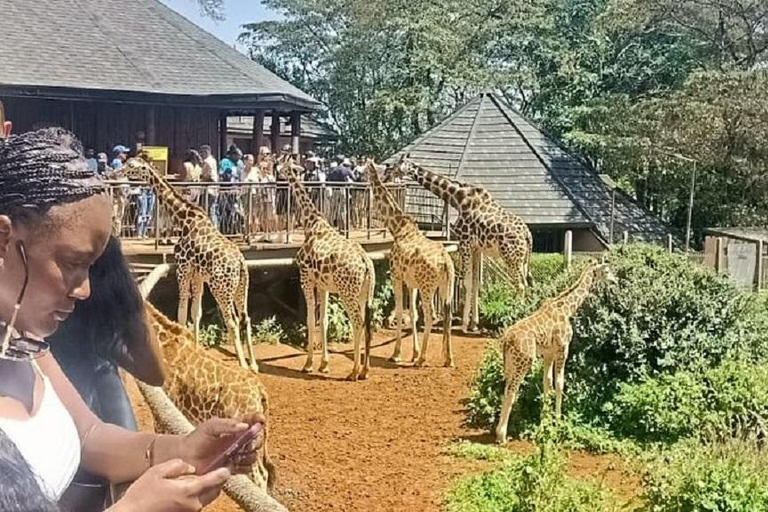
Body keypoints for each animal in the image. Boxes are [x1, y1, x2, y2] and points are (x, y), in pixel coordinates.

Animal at [122, 157, 257, 372]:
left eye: (132, 166)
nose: (118, 172)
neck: (184, 218)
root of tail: (240, 262)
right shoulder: (198, 275)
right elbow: (196, 313)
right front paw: (196, 347)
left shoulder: (182, 269)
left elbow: (181, 313)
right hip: (241, 286)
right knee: (246, 318)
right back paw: (253, 364)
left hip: (221, 288)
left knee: (233, 321)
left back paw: (242, 364)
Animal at [277, 156, 375, 381]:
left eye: (283, 165)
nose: (277, 172)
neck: (311, 222)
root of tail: (366, 263)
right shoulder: (323, 286)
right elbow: (323, 321)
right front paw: (324, 364)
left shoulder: (305, 278)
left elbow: (309, 319)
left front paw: (308, 364)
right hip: (366, 292)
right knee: (367, 324)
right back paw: (365, 370)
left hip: (348, 292)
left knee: (357, 322)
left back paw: (354, 372)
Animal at [364, 160, 456, 367]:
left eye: (391, 168)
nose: (362, 180)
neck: (397, 227)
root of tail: (445, 262)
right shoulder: (411, 282)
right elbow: (412, 313)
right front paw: (413, 352)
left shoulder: (396, 276)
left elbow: (399, 311)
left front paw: (397, 354)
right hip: (446, 286)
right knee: (447, 314)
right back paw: (448, 359)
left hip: (428, 286)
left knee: (431, 315)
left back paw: (422, 359)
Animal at [390, 155, 533, 333]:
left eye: (396, 164)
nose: (387, 172)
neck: (458, 199)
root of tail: (528, 236)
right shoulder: (476, 248)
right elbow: (476, 282)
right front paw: (474, 323)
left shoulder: (464, 242)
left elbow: (466, 282)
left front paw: (464, 324)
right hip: (522, 260)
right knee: (526, 284)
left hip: (511, 257)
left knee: (520, 285)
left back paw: (516, 317)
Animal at [494, 261, 617, 443]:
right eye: (606, 271)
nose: (615, 281)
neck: (567, 309)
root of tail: (507, 340)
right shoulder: (563, 348)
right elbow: (559, 383)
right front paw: (558, 421)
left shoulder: (549, 353)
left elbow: (547, 382)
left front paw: (544, 420)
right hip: (524, 361)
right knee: (511, 391)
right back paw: (502, 436)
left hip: (510, 363)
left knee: (505, 389)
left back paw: (499, 432)